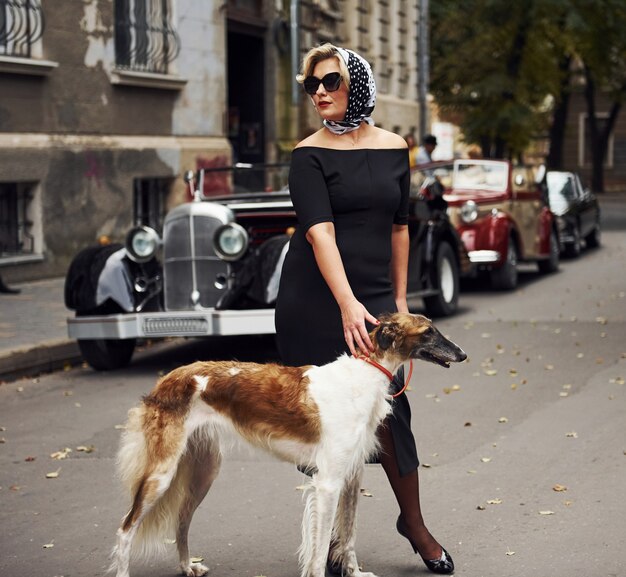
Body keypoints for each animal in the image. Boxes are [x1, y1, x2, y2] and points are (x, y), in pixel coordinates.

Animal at [111, 312, 464, 572]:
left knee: (181, 523)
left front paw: (355, 572)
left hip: (203, 471)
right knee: (126, 529)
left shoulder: (351, 475)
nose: (462, 354)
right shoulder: (328, 483)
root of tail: (165, 381)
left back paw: (188, 567)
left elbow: (348, 537)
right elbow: (320, 552)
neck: (364, 375)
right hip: (161, 474)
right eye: (428, 332)